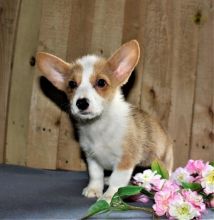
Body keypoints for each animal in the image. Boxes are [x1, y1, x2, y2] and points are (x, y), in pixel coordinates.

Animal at [36, 40, 174, 202]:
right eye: (72, 84)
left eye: (101, 82)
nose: (81, 103)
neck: (98, 126)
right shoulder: (92, 158)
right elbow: (96, 175)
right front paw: (94, 189)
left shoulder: (125, 161)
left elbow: (117, 181)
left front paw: (109, 196)